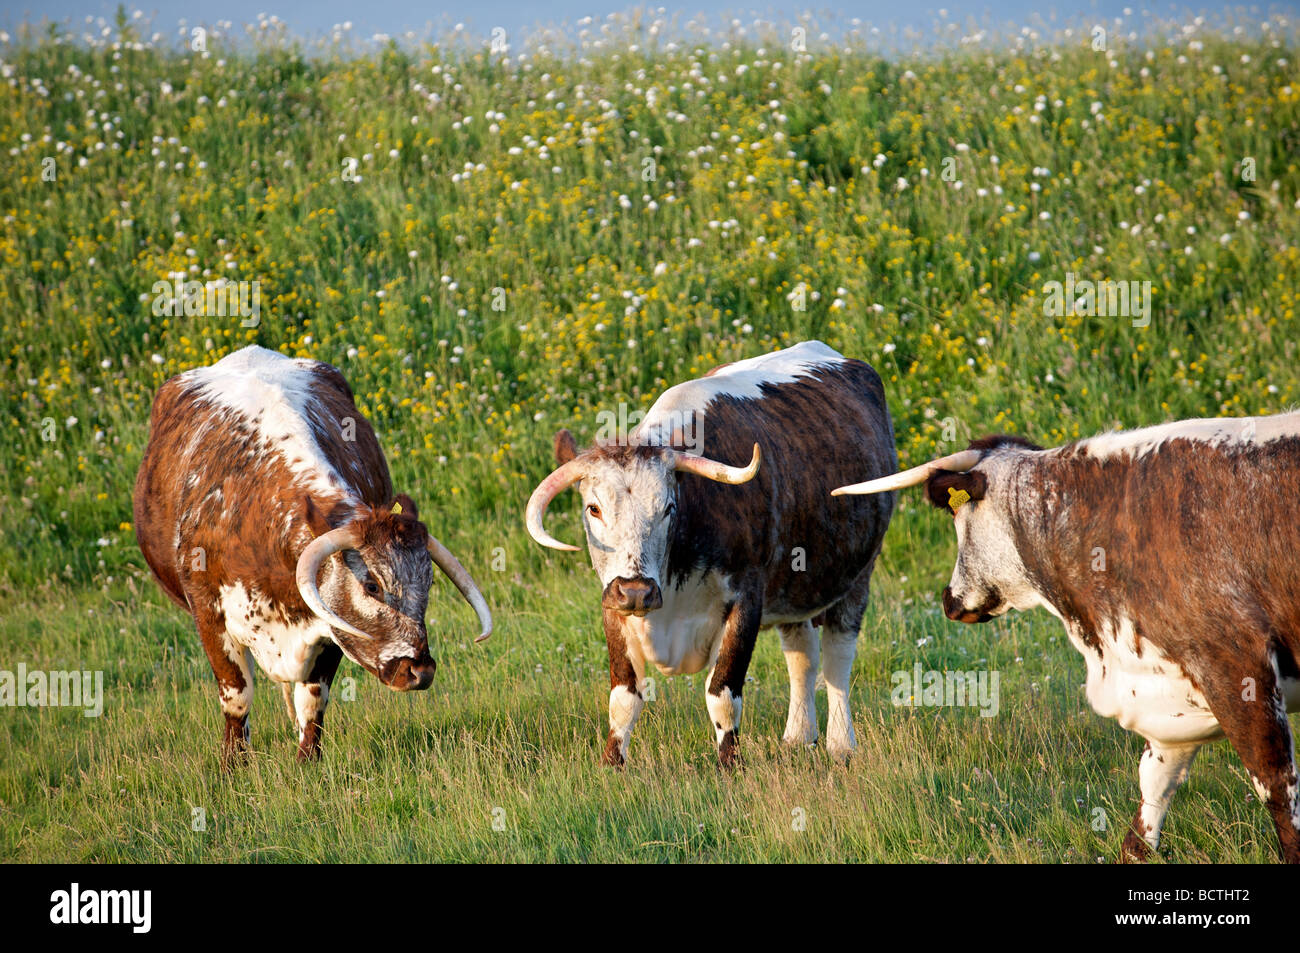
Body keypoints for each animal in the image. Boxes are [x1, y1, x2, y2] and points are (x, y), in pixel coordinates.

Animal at [134, 345, 491, 764]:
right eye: (371, 585)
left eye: (429, 583)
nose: (420, 671)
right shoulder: (209, 615)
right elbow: (237, 696)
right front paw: (232, 765)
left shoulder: (328, 628)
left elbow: (313, 700)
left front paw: (309, 762)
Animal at [525, 343, 894, 764]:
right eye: (594, 508)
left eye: (669, 507)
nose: (636, 591)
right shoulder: (612, 604)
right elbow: (623, 697)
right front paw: (611, 764)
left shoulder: (746, 600)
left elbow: (723, 694)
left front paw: (730, 764)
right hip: (793, 586)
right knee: (803, 656)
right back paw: (799, 737)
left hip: (858, 575)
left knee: (837, 657)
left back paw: (840, 743)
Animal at [837, 416, 1300, 863]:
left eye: (957, 517)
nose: (949, 600)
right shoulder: (1170, 682)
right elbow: (1154, 783)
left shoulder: (1234, 667)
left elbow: (1276, 785)